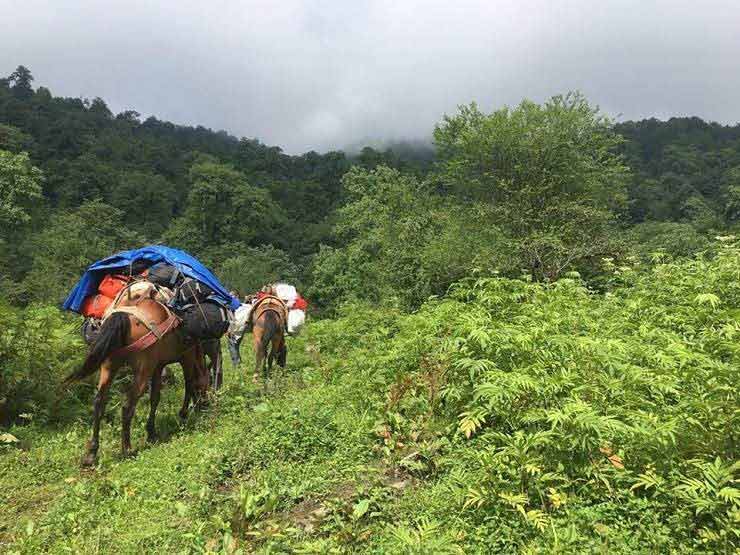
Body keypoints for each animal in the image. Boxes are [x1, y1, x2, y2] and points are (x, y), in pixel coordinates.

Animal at [65, 298, 208, 466]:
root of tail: (123, 316)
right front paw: (183, 414)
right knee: (127, 405)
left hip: (109, 367)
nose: (206, 404)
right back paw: (127, 449)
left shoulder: (158, 367)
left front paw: (151, 433)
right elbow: (189, 383)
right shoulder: (186, 357)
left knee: (99, 402)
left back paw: (91, 453)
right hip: (142, 371)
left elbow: (155, 398)